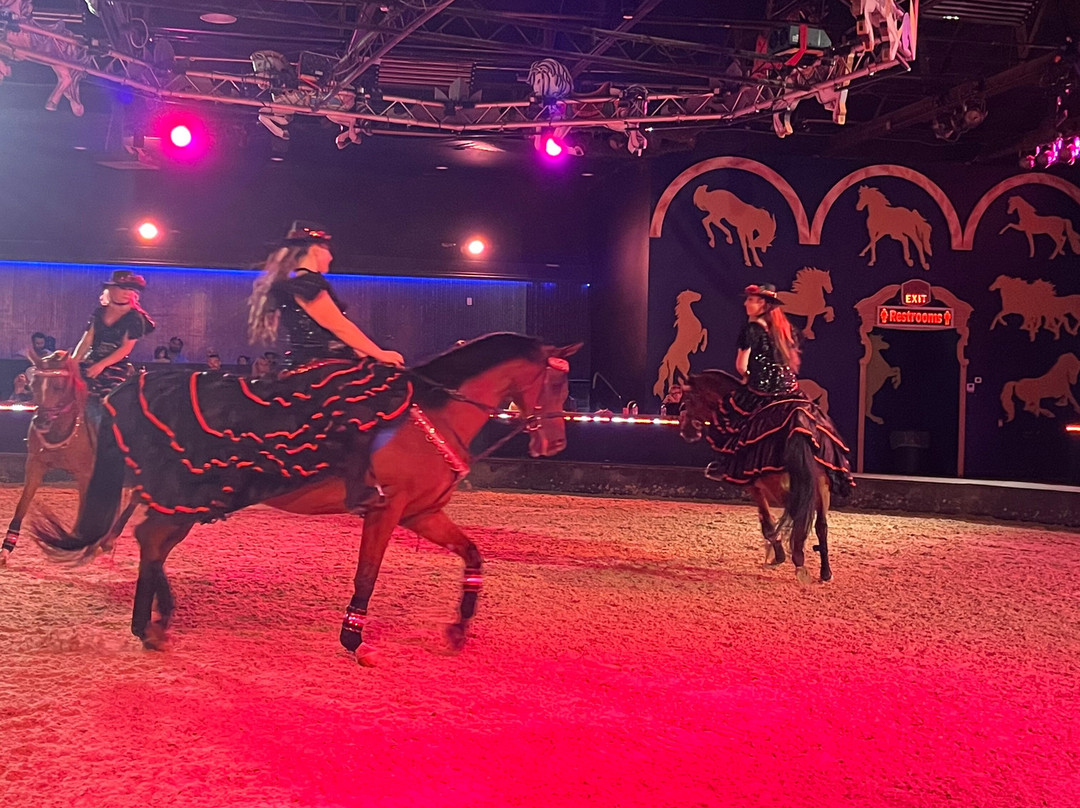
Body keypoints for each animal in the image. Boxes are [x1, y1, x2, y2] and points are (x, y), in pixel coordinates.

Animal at [33, 334, 580, 660]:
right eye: (558, 381)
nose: (556, 444)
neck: (433, 412)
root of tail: (134, 387)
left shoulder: (422, 514)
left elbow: (473, 554)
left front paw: (459, 630)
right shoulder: (386, 510)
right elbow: (367, 573)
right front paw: (352, 638)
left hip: (181, 499)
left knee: (151, 542)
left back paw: (156, 619)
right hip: (186, 496)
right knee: (151, 539)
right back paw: (148, 625)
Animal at [679, 370, 835, 584]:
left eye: (688, 399)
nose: (686, 432)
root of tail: (799, 422)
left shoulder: (754, 486)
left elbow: (767, 522)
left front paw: (779, 555)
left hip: (780, 484)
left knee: (798, 513)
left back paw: (798, 559)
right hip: (820, 482)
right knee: (820, 524)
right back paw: (825, 571)